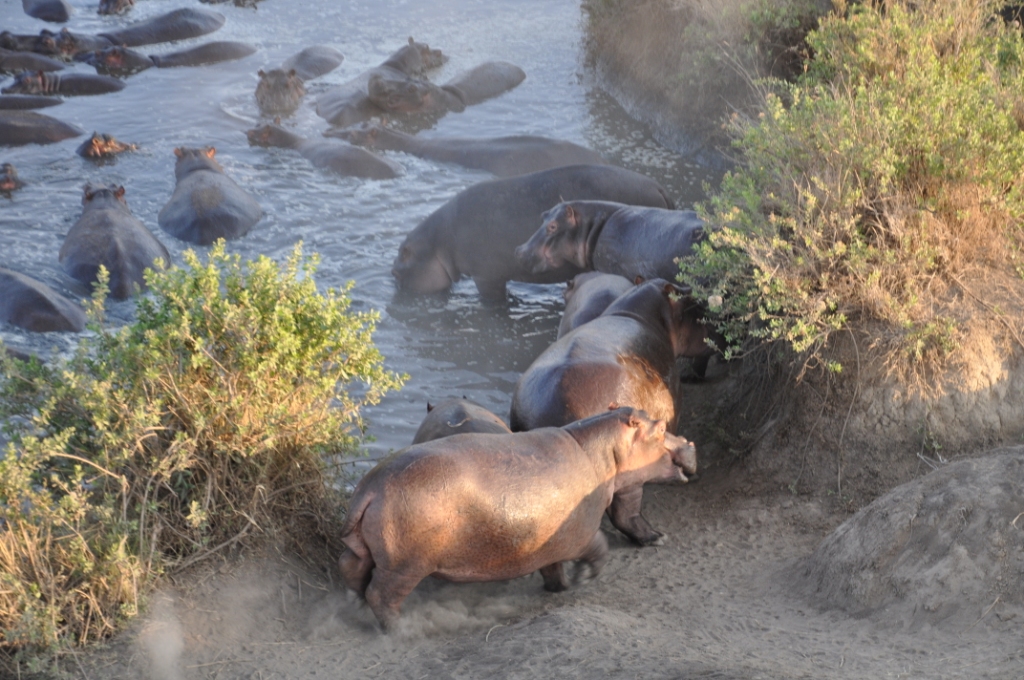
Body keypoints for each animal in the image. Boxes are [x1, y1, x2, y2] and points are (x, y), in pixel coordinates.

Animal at [338, 406, 695, 630]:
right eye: (662, 427)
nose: (689, 442)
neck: (604, 451)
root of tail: (370, 488)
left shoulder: (551, 541)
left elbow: (552, 568)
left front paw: (560, 587)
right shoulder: (582, 532)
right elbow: (600, 548)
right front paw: (582, 577)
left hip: (364, 550)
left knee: (354, 575)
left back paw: (356, 607)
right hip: (405, 566)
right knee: (381, 595)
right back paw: (399, 628)